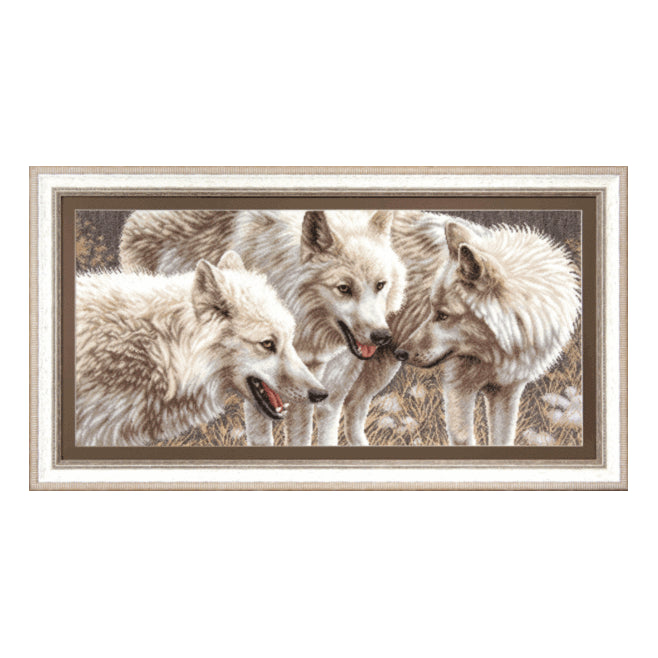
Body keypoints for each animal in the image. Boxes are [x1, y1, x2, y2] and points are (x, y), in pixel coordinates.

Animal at [120, 209, 406, 445]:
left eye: (380, 285)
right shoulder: (256, 382)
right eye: (344, 288)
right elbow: (262, 436)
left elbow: (303, 433)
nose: (381, 336)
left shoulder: (310, 376)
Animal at [322, 211, 581, 446]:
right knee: (330, 405)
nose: (402, 352)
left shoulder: (507, 391)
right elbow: (464, 438)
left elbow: (503, 439)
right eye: (431, 309)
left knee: (353, 404)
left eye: (443, 315)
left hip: (380, 366)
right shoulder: (459, 388)